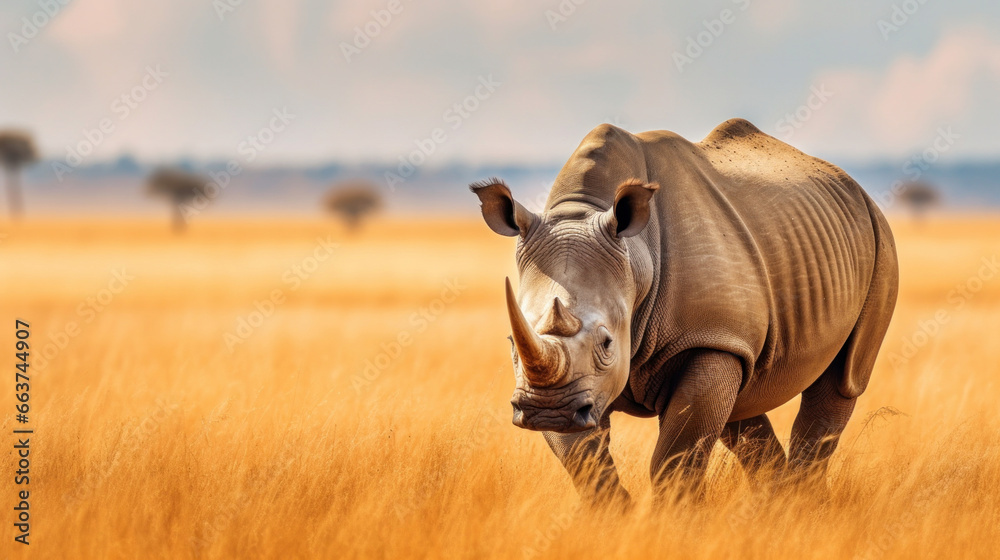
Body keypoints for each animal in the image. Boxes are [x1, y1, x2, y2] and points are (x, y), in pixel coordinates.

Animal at [470, 119, 898, 502]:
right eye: (512, 341)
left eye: (607, 343)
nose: (548, 411)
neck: (635, 257)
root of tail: (851, 184)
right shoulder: (577, 387)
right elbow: (585, 463)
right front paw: (617, 520)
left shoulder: (708, 338)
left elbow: (673, 463)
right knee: (741, 404)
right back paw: (779, 507)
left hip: (880, 239)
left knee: (843, 381)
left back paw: (801, 507)